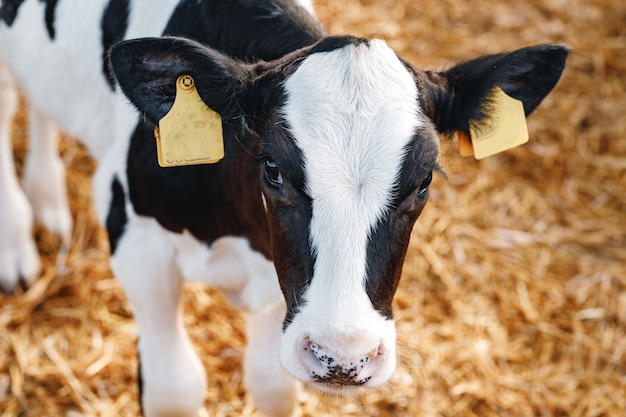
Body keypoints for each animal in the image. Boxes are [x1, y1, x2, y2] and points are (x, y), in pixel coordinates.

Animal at [0, 0, 564, 414]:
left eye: (424, 180)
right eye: (271, 167)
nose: (344, 357)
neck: (233, 226)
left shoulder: (280, 280)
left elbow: (272, 384)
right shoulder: (138, 246)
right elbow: (174, 388)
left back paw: (49, 204)